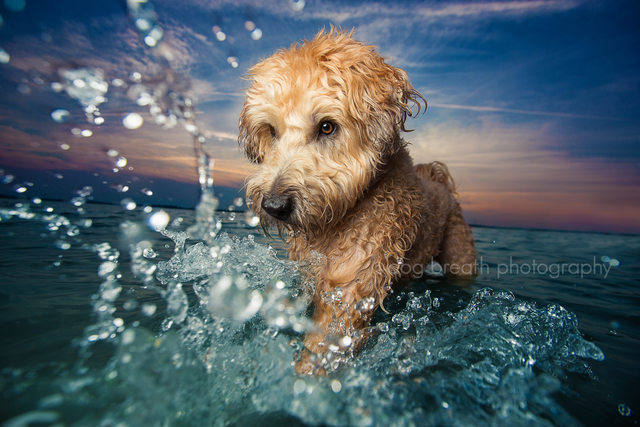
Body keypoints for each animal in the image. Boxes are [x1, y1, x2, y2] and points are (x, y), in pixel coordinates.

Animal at [239, 27, 476, 374]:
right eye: (271, 129)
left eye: (327, 126)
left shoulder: (352, 284)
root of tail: (438, 180)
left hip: (461, 252)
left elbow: (328, 339)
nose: (275, 206)